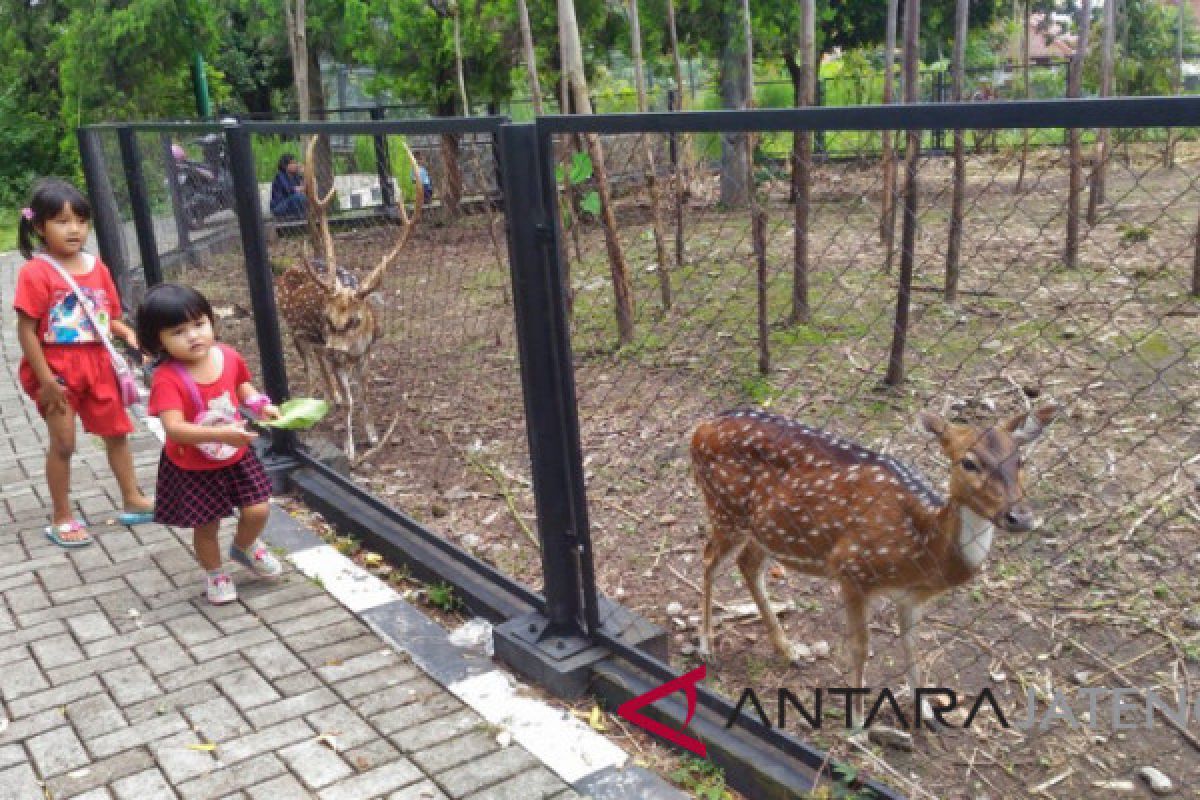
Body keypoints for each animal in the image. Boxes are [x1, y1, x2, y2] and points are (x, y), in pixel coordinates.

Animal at [274, 134, 424, 460]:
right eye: (327, 317)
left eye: (355, 320)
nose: (335, 349)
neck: (354, 347)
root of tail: (286, 270)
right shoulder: (335, 350)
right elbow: (352, 399)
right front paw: (351, 448)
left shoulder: (366, 353)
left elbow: (364, 393)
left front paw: (373, 435)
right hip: (294, 330)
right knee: (308, 364)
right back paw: (311, 403)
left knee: (319, 360)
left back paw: (331, 395)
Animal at [691, 407, 1056, 724]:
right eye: (968, 462)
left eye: (1021, 459)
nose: (1020, 516)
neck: (923, 551)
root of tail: (701, 427)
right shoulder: (850, 568)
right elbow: (859, 647)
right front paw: (856, 722)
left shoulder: (912, 598)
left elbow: (912, 647)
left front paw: (926, 711)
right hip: (724, 509)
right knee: (708, 559)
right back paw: (706, 646)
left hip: (766, 530)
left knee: (747, 564)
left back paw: (790, 650)